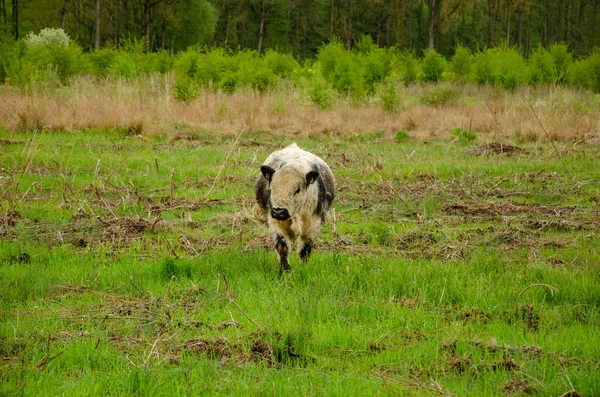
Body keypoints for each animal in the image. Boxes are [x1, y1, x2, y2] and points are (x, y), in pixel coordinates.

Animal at [254, 142, 336, 270]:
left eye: (297, 190)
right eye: (272, 188)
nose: (279, 212)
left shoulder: (312, 225)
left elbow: (304, 250)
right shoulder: (275, 223)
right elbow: (282, 247)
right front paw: (286, 270)